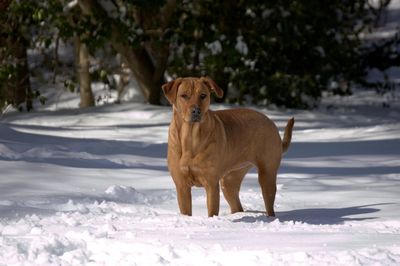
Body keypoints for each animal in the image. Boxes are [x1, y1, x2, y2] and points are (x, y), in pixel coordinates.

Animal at [162, 76, 294, 216]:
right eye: (184, 96)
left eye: (203, 95)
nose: (196, 111)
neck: (190, 138)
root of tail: (271, 122)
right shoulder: (182, 186)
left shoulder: (211, 183)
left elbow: (212, 212)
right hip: (230, 179)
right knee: (237, 205)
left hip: (267, 174)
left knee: (269, 205)